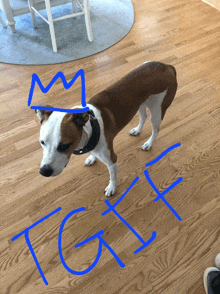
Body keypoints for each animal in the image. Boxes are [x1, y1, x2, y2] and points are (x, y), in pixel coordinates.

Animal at [35, 60, 177, 196]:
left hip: (157, 110)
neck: (89, 132)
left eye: (64, 146)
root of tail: (167, 66)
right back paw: (137, 130)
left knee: (156, 129)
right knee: (143, 116)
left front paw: (112, 188)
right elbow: (92, 154)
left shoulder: (112, 160)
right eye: (42, 142)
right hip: (140, 104)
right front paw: (91, 158)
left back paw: (149, 143)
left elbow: (113, 176)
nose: (44, 171)